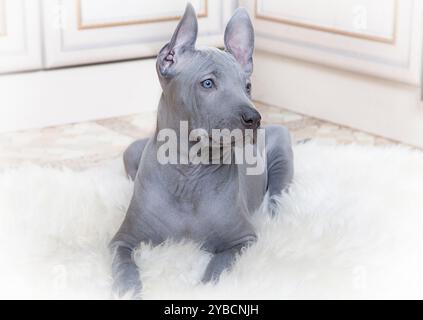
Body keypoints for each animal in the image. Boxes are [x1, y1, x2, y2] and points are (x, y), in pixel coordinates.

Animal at [110, 3, 294, 298]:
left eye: (248, 86)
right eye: (207, 84)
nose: (254, 119)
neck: (190, 172)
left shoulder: (242, 240)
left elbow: (218, 267)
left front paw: (204, 289)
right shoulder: (123, 240)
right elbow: (124, 266)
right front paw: (129, 290)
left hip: (281, 152)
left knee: (278, 197)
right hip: (130, 152)